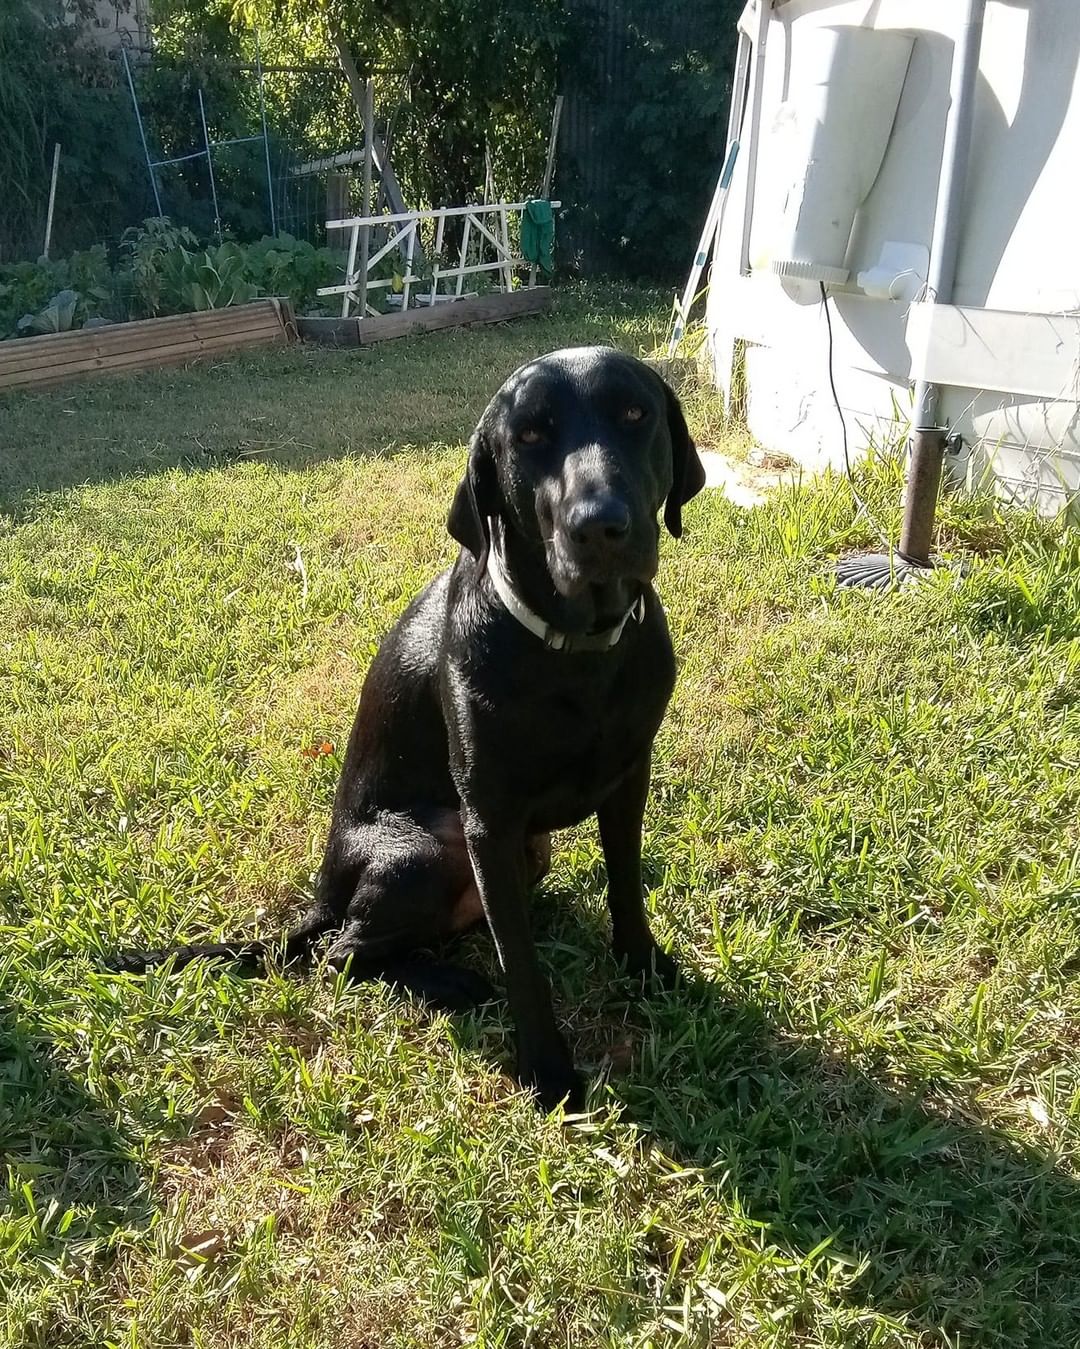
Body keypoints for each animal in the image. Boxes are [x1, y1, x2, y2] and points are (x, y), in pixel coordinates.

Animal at [113, 345, 706, 1106]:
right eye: (531, 435)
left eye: (635, 413)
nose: (599, 525)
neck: (577, 651)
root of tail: (322, 896)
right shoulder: (488, 819)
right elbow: (522, 965)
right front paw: (546, 1069)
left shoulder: (629, 777)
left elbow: (625, 886)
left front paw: (644, 965)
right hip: (425, 849)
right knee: (342, 957)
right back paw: (448, 980)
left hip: (520, 851)